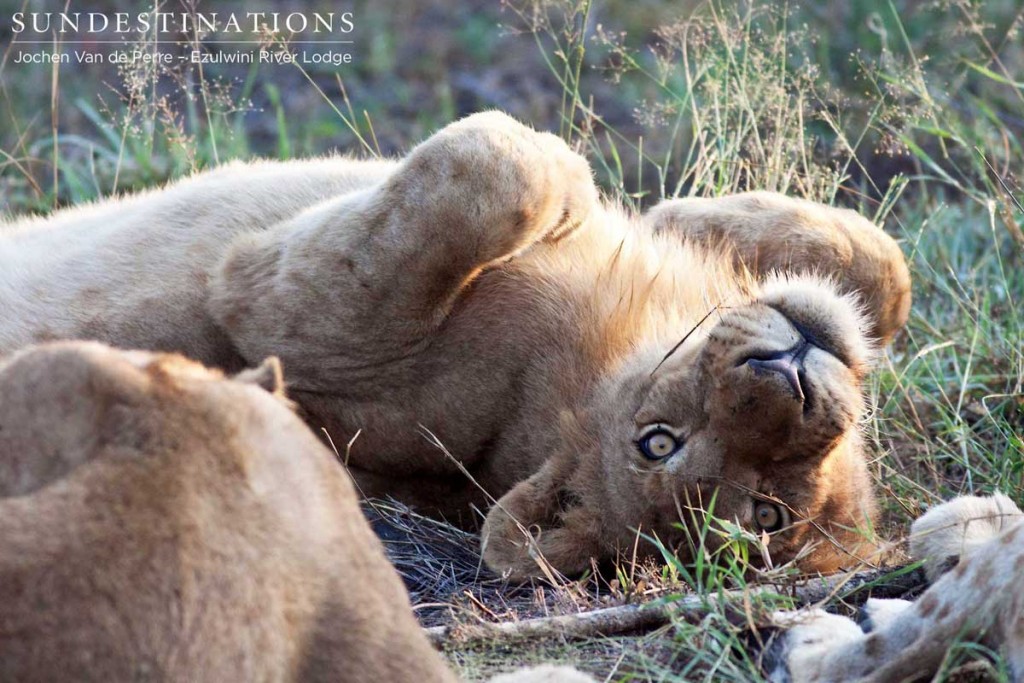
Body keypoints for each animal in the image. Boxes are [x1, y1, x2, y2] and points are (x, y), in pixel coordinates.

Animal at [0, 111, 913, 577]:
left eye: (766, 513)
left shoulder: (268, 299)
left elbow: (502, 165)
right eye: (658, 442)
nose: (787, 375)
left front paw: (576, 178)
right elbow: (885, 266)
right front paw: (682, 211)